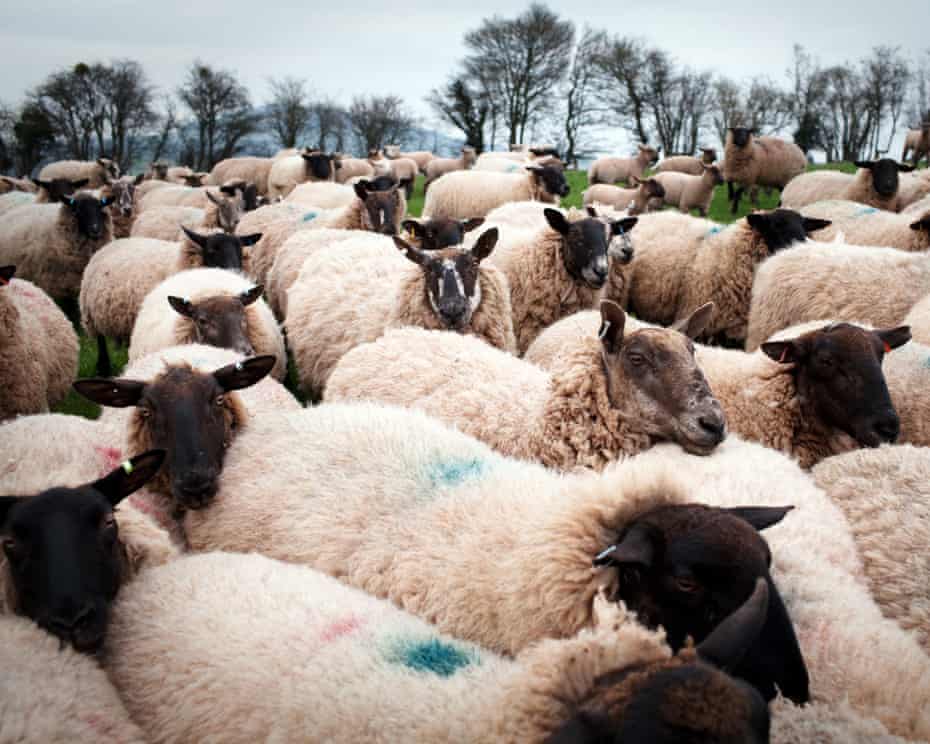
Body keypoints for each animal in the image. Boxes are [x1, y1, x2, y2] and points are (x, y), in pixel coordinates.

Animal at [79, 228, 262, 375]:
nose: (235, 272)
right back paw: (103, 368)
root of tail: (114, 242)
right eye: (211, 251)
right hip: (90, 316)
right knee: (101, 342)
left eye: (240, 251)